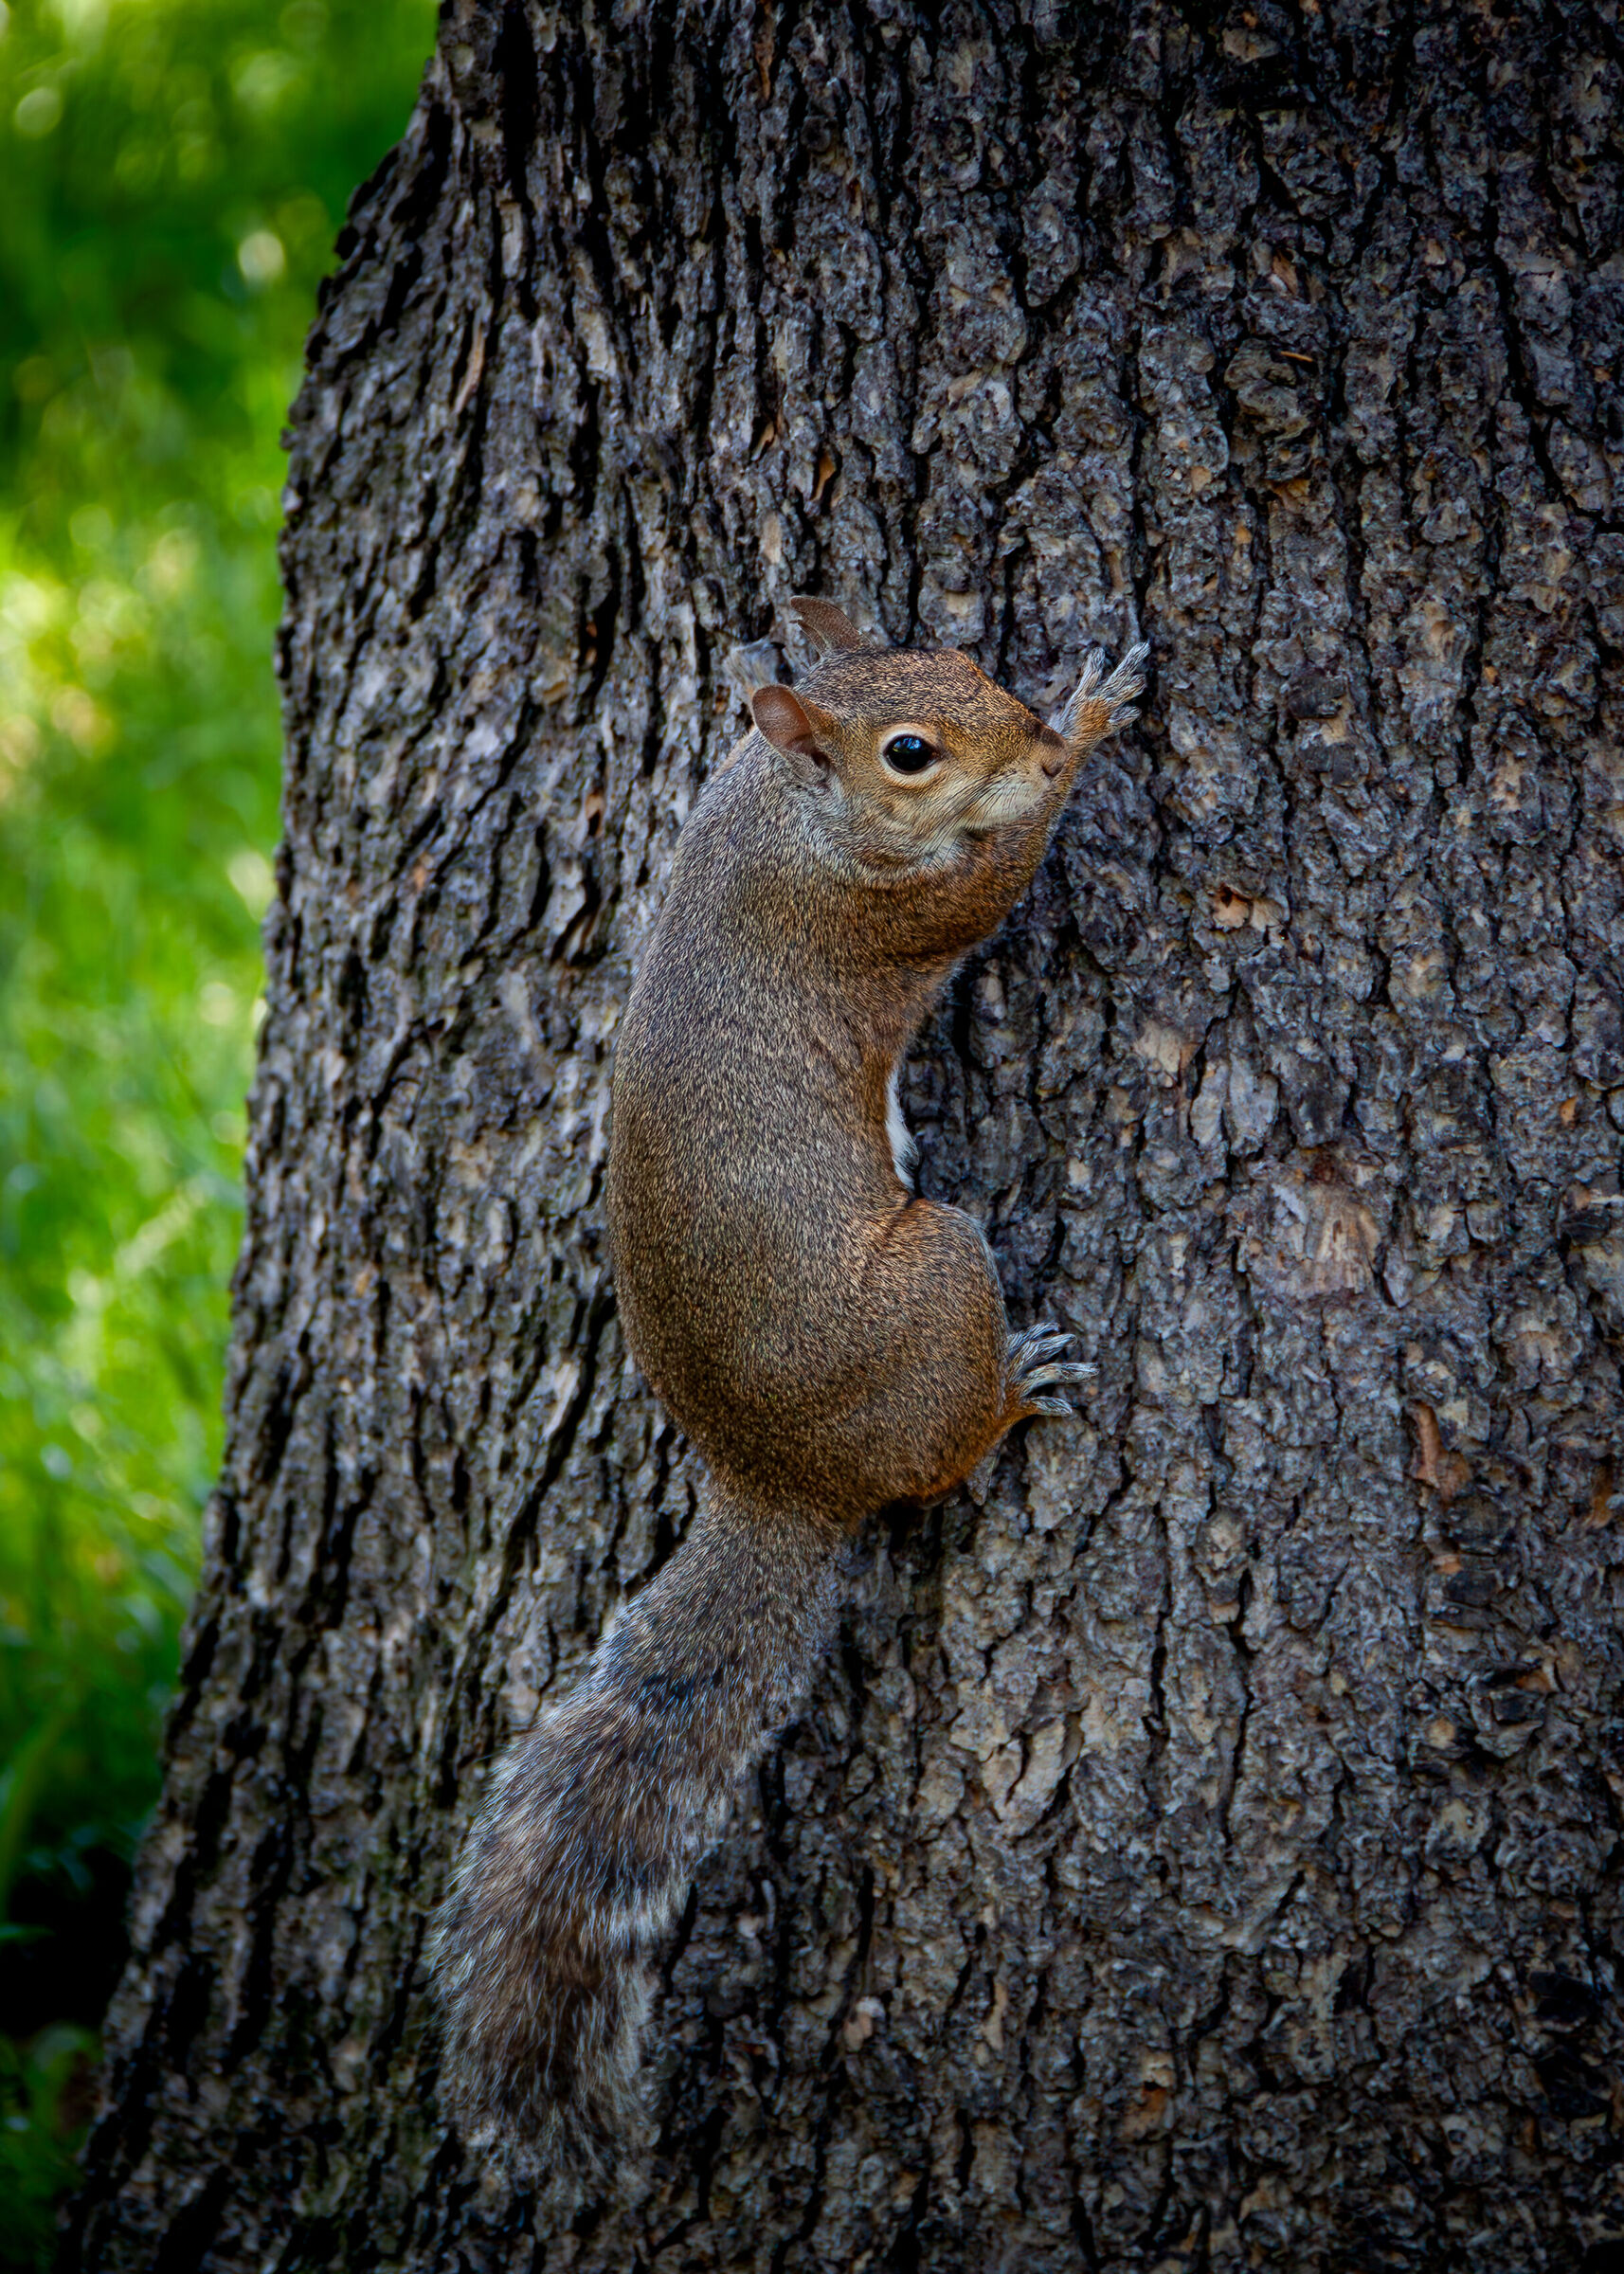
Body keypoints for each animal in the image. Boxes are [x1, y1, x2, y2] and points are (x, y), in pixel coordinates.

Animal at [430, 598, 1148, 2171]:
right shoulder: (887, 914)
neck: (785, 811)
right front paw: (1087, 727)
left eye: (962, 659)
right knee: (939, 1455)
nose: (1023, 726)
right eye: (911, 753)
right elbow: (998, 874)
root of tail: (780, 1477)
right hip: (939, 1276)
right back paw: (1016, 1390)